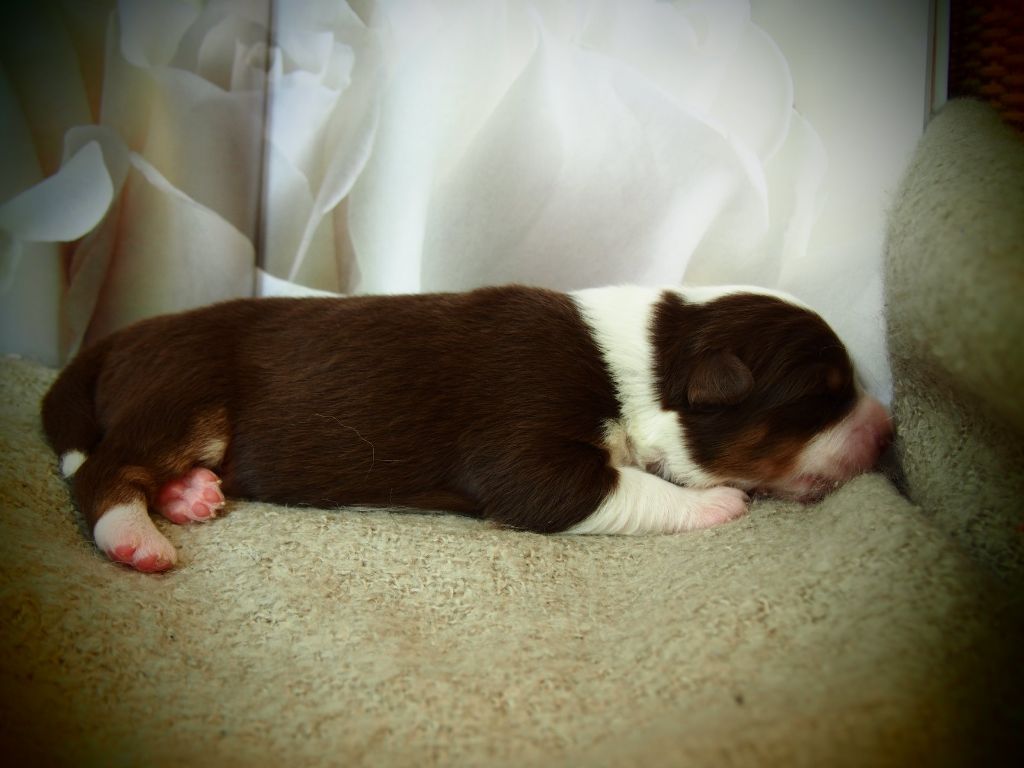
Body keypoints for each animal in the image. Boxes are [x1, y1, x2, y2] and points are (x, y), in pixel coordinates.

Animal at [42, 285, 892, 572]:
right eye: (825, 397)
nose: (888, 431)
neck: (648, 359)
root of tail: (117, 340)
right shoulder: (528, 456)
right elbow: (617, 485)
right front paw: (714, 503)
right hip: (185, 394)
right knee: (102, 473)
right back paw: (138, 537)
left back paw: (187, 496)